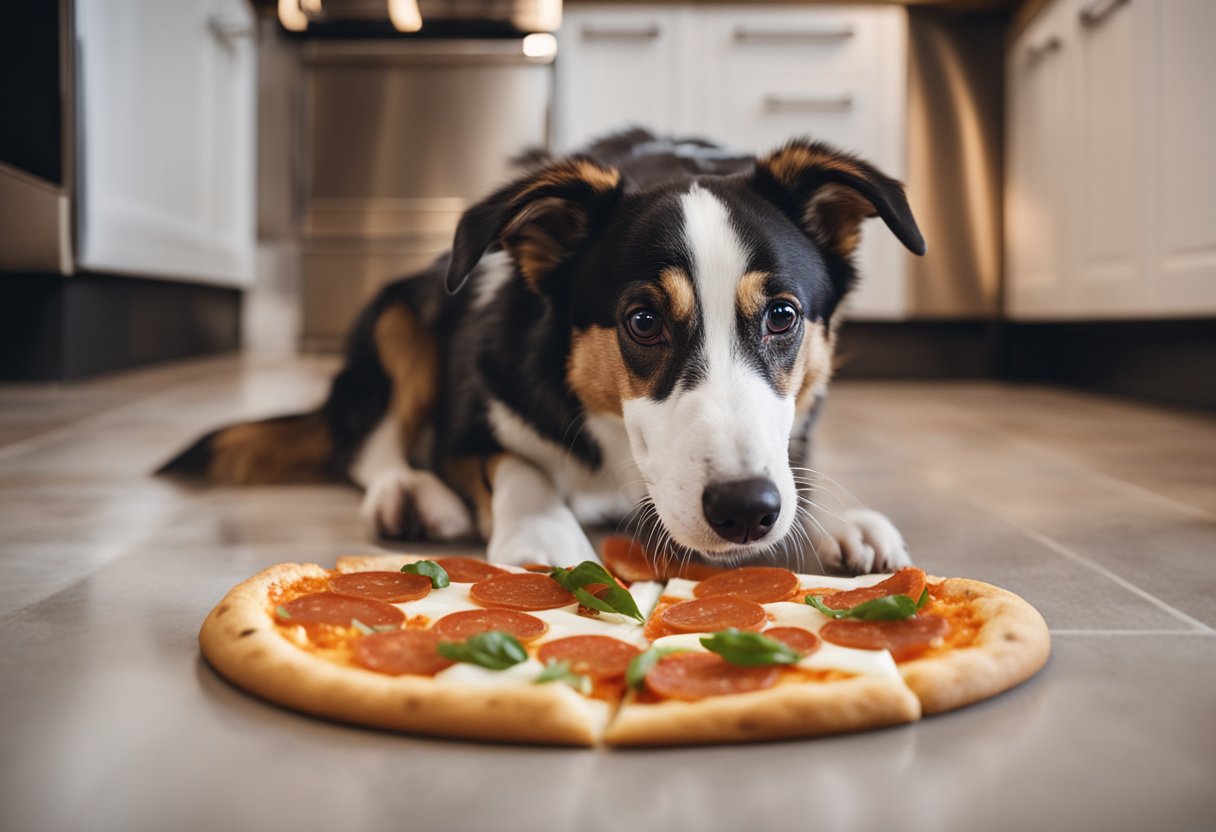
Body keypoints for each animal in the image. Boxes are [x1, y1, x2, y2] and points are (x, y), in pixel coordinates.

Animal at [161, 128, 919, 571]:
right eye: (643, 321)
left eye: (783, 316)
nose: (745, 510)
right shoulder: (468, 416)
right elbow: (517, 463)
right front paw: (543, 537)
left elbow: (796, 463)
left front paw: (836, 522)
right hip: (399, 314)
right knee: (366, 443)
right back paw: (411, 493)